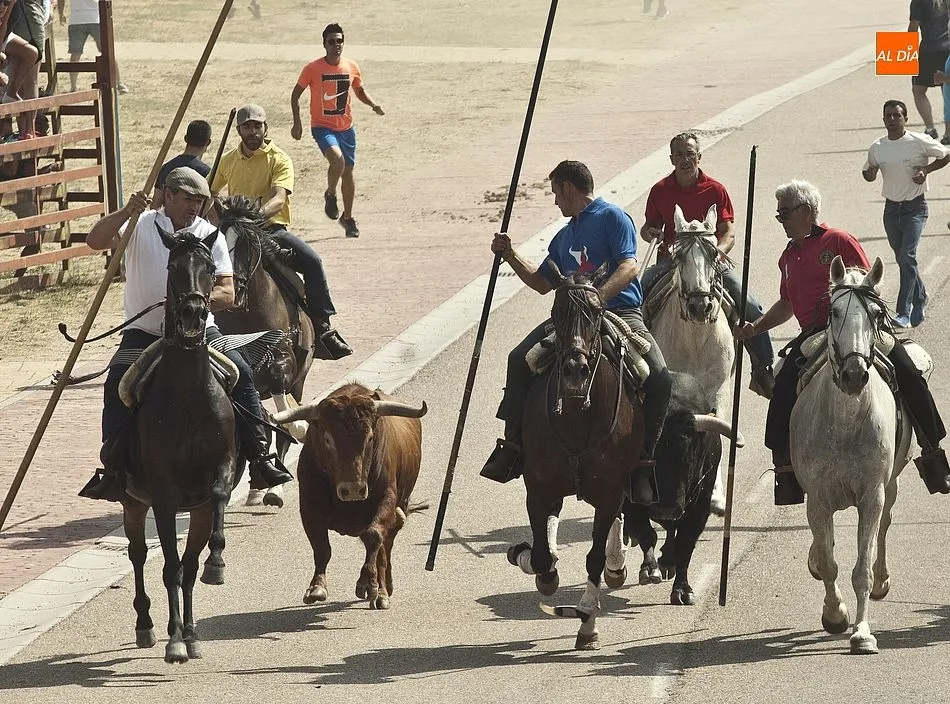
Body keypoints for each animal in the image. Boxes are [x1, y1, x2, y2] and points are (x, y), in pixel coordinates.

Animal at [122, 227, 239, 664]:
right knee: (139, 555)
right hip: (133, 502)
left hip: (198, 512)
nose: (191, 314)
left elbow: (218, 495)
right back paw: (148, 626)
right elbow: (169, 566)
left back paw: (191, 632)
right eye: (172, 267)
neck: (188, 397)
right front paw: (173, 642)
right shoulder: (164, 497)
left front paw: (216, 563)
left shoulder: (217, 475)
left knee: (187, 566)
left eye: (210, 267)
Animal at [214, 195, 315, 508]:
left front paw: (299, 427)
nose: (231, 288)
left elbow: (286, 418)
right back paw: (260, 485)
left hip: (298, 379)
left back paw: (272, 489)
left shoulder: (282, 364)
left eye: (248, 243)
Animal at [272, 383, 428, 610]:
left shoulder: (387, 500)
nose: (353, 489)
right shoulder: (308, 506)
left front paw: (367, 583)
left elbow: (374, 536)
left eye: (370, 437)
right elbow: (322, 548)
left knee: (384, 547)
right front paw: (317, 587)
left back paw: (382, 590)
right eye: (327, 439)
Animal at [646, 203, 735, 516]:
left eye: (713, 253)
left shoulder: (719, 388)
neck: (696, 338)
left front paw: (717, 497)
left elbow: (717, 426)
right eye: (678, 255)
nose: (699, 305)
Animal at [791, 255, 912, 655]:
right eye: (834, 312)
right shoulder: (817, 499)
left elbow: (862, 569)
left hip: (891, 486)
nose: (855, 374)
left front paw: (862, 633)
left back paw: (883, 580)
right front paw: (834, 615)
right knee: (824, 545)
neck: (845, 423)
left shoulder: (872, 496)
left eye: (876, 314)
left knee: (886, 526)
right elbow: (829, 564)